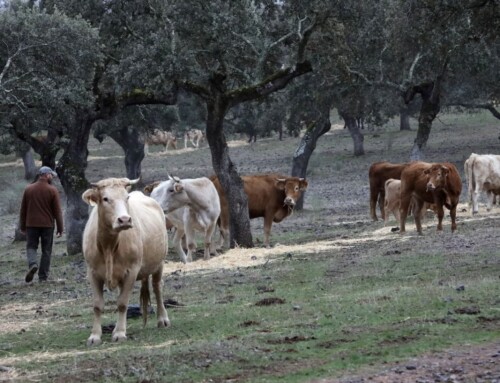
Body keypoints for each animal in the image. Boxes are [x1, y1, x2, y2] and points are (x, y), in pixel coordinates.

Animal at [81, 178, 169, 346]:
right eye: (105, 198)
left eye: (126, 197)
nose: (125, 220)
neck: (108, 246)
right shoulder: (92, 272)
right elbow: (97, 305)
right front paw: (95, 336)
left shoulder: (131, 271)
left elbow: (122, 303)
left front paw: (120, 333)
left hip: (159, 263)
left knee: (157, 288)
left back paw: (162, 319)